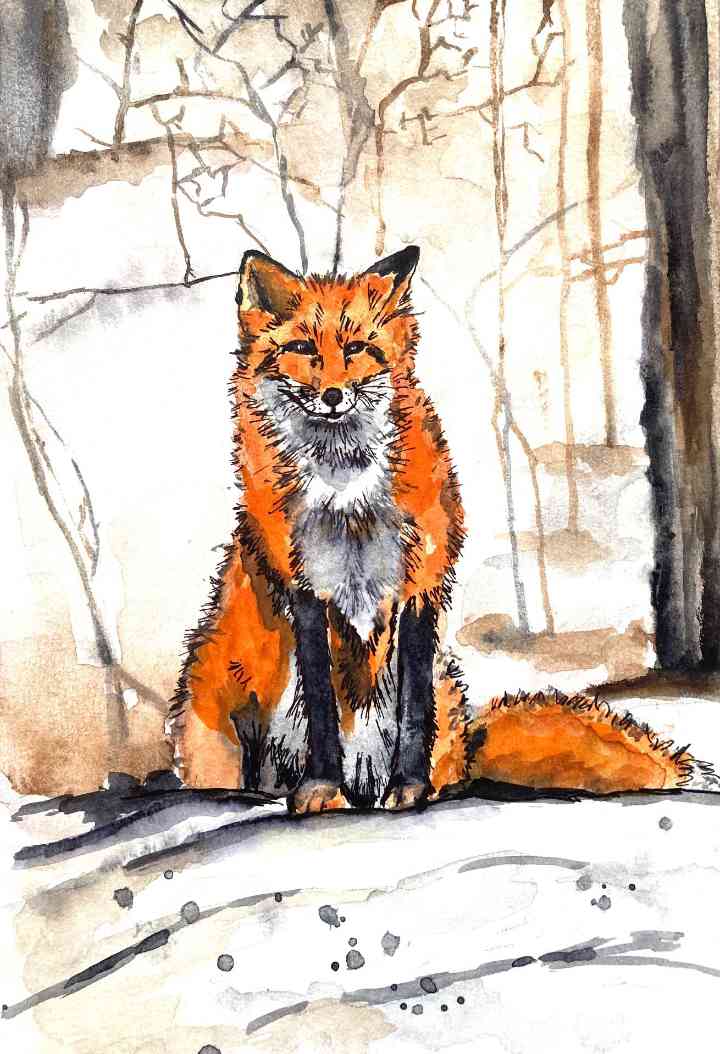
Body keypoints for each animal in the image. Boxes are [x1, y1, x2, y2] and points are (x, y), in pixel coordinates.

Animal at [167, 245, 714, 812]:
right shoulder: (307, 588)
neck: (346, 496)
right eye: (301, 349)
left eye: (358, 349)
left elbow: (413, 709)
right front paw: (322, 789)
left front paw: (409, 789)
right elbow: (320, 705)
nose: (334, 395)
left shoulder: (419, 585)